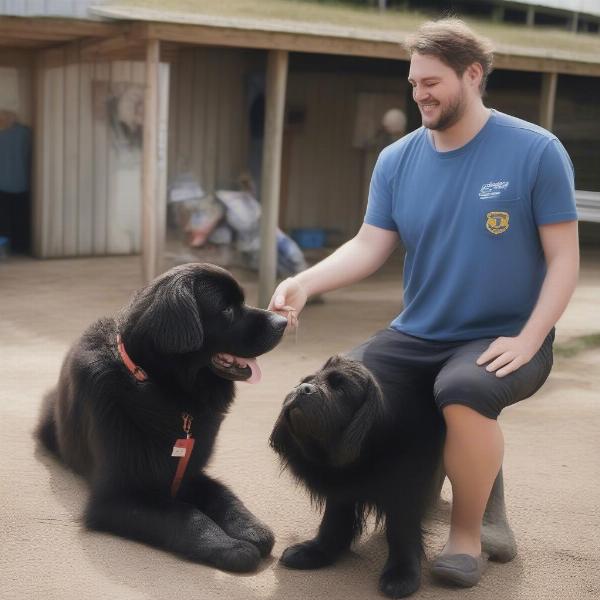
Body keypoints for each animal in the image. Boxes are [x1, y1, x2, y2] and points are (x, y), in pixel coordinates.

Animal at [37, 262, 288, 572]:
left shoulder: (187, 473)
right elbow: (185, 515)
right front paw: (231, 547)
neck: (159, 388)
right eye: (227, 309)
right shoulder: (115, 498)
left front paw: (250, 527)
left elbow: (223, 495)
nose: (283, 321)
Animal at [270, 356, 516, 596]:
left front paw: (401, 575)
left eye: (340, 389)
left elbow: (401, 532)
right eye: (307, 380)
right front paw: (318, 551)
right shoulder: (342, 488)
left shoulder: (405, 488)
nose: (303, 389)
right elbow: (333, 521)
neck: (369, 448)